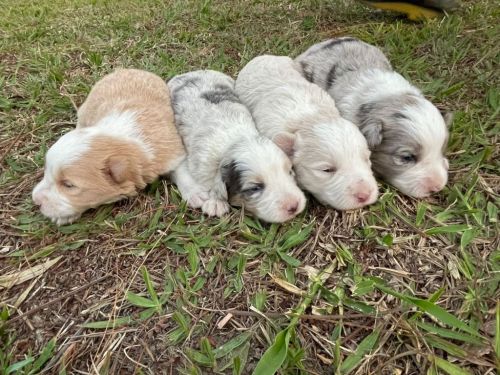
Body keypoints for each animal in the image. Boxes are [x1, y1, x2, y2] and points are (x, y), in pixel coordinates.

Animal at [32, 68, 186, 225]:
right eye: (46, 170)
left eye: (68, 185)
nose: (35, 200)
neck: (123, 140)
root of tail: (128, 69)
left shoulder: (172, 151)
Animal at [168, 70, 304, 223]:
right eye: (255, 188)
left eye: (290, 171)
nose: (294, 206)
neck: (236, 140)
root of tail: (188, 73)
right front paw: (216, 203)